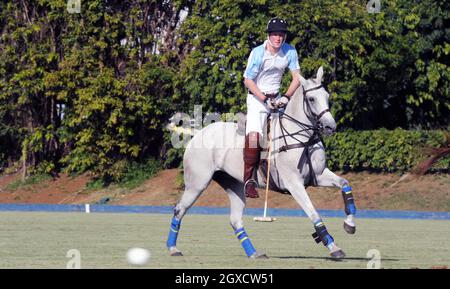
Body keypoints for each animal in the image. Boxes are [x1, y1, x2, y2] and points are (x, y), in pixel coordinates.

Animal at [165, 67, 356, 258]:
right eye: (311, 99)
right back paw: (173, 249)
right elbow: (314, 213)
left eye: (327, 96)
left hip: (234, 185)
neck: (302, 137)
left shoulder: (318, 175)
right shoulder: (293, 183)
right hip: (197, 183)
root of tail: (199, 133)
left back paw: (254, 253)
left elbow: (345, 183)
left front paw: (349, 225)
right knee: (179, 209)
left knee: (235, 220)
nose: (331, 126)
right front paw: (334, 248)